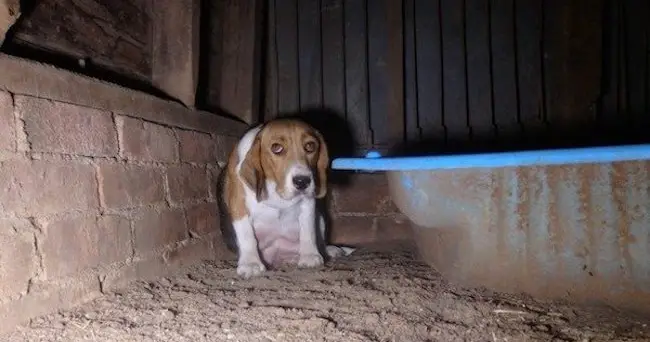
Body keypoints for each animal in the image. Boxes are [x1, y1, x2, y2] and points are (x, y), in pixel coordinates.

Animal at [220, 117, 354, 278]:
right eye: (276, 148)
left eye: (310, 146)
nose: (302, 181)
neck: (276, 190)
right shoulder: (239, 205)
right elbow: (247, 236)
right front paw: (251, 263)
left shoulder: (308, 204)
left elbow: (308, 230)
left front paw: (309, 256)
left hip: (320, 218)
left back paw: (329, 251)